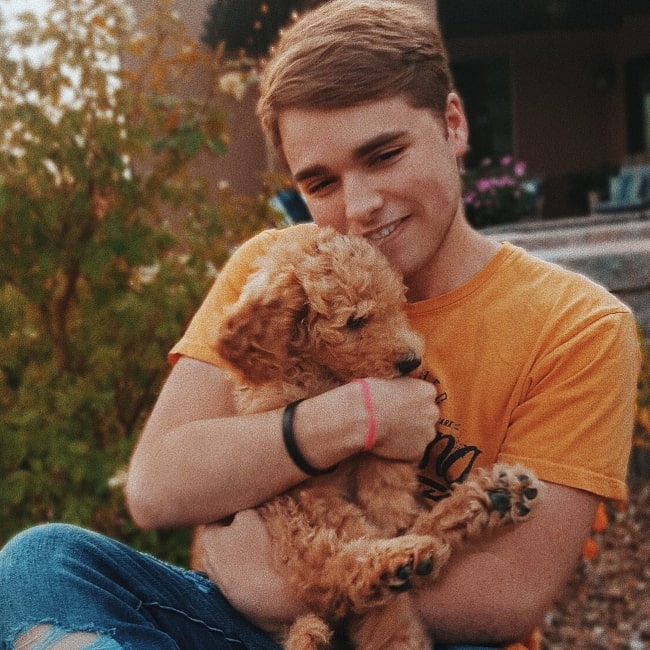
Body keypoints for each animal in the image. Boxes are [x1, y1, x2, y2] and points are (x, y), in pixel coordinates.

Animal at [210, 225, 540, 644]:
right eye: (355, 322)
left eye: (396, 307)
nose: (412, 361)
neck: (324, 375)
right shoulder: (299, 482)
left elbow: (385, 466)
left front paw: (390, 503)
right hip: (298, 522)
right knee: (326, 577)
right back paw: (398, 563)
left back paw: (490, 499)